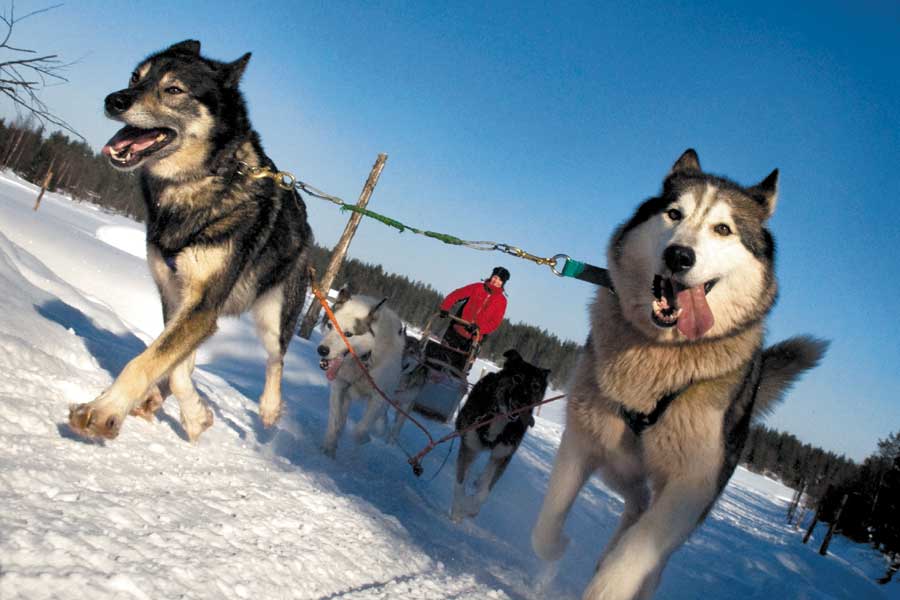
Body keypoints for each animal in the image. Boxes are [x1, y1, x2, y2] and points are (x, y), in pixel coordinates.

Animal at [67, 38, 312, 440]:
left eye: (174, 89)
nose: (114, 100)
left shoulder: (202, 305)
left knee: (276, 358)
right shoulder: (176, 294)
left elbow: (148, 361)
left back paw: (270, 407)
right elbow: (174, 363)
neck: (197, 183)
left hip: (274, 314)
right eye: (135, 77)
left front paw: (105, 409)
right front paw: (194, 414)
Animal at [314, 288, 402, 458]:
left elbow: (360, 430)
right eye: (330, 325)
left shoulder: (378, 397)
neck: (363, 360)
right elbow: (335, 420)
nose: (322, 350)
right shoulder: (339, 386)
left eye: (348, 334)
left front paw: (362, 440)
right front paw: (329, 448)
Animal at [450, 350, 548, 524]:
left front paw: (469, 508)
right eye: (517, 378)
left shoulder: (502, 455)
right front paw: (457, 510)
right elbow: (460, 483)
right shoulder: (470, 446)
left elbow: (483, 494)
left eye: (535, 386)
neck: (499, 418)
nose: (524, 402)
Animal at [532, 150, 828, 600]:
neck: (663, 353)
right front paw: (557, 547)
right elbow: (546, 524)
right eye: (674, 214)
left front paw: (612, 582)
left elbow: (635, 555)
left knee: (647, 531)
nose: (679, 256)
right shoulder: (584, 440)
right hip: (620, 466)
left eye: (723, 229)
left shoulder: (690, 487)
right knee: (637, 503)